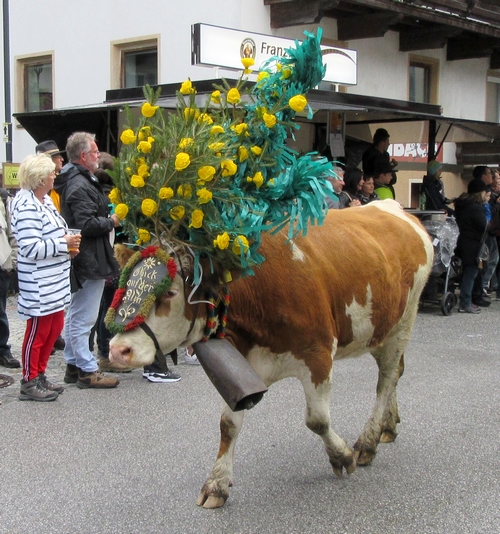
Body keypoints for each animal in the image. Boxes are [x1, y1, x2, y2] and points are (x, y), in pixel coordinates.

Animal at [109, 201, 434, 510]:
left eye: (169, 293)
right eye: (124, 283)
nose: (118, 349)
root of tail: (394, 208)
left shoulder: (318, 355)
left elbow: (317, 420)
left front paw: (342, 456)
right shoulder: (241, 367)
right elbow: (228, 424)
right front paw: (216, 484)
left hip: (404, 320)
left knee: (386, 379)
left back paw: (368, 442)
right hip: (382, 327)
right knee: (394, 373)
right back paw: (388, 426)